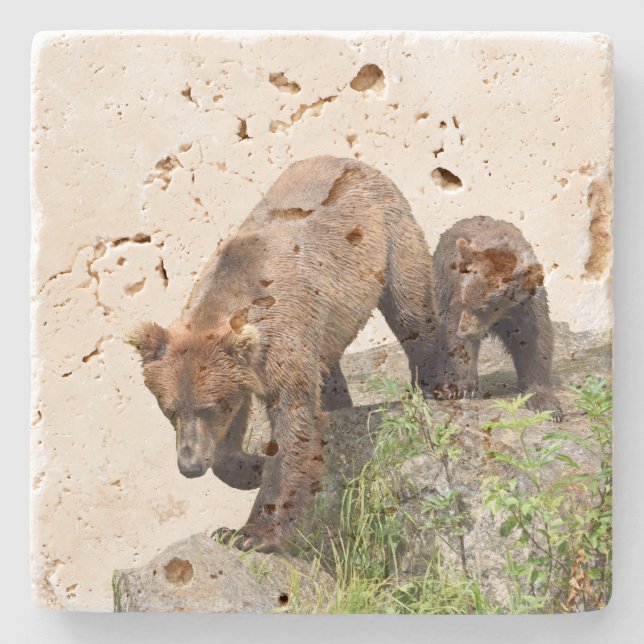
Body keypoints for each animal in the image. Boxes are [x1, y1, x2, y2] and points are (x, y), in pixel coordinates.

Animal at [129, 155, 440, 552]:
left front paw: (250, 533)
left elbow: (294, 424)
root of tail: (351, 161)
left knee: (411, 308)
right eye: (168, 409)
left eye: (208, 407)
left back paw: (443, 384)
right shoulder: (245, 370)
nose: (189, 466)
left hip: (389, 236)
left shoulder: (282, 341)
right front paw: (250, 468)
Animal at [431, 215, 563, 421]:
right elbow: (455, 337)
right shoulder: (456, 293)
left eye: (484, 308)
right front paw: (461, 387)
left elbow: (536, 342)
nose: (465, 332)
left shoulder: (528, 306)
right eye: (466, 300)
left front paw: (545, 402)